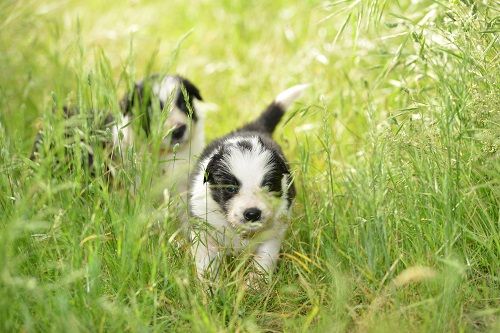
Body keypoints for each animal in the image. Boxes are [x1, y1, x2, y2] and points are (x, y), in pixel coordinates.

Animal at [188, 81, 306, 282]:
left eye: (268, 186)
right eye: (230, 188)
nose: (252, 214)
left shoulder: (273, 231)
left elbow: (263, 261)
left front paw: (254, 285)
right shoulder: (203, 227)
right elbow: (206, 263)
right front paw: (211, 287)